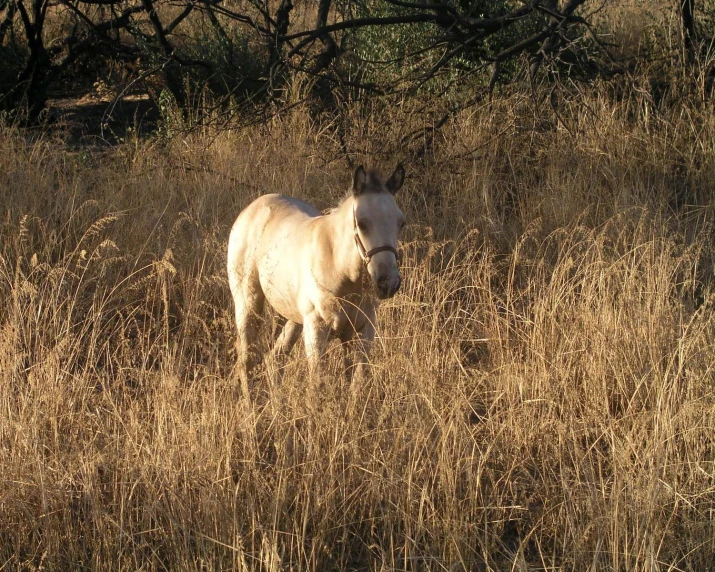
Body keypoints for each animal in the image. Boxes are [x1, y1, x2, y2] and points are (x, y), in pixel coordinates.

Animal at [229, 163, 408, 392]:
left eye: (400, 223)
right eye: (361, 223)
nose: (388, 283)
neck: (340, 270)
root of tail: (251, 210)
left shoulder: (362, 330)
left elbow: (356, 384)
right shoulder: (316, 329)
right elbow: (317, 385)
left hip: (294, 316)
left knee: (275, 359)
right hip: (248, 303)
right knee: (247, 361)